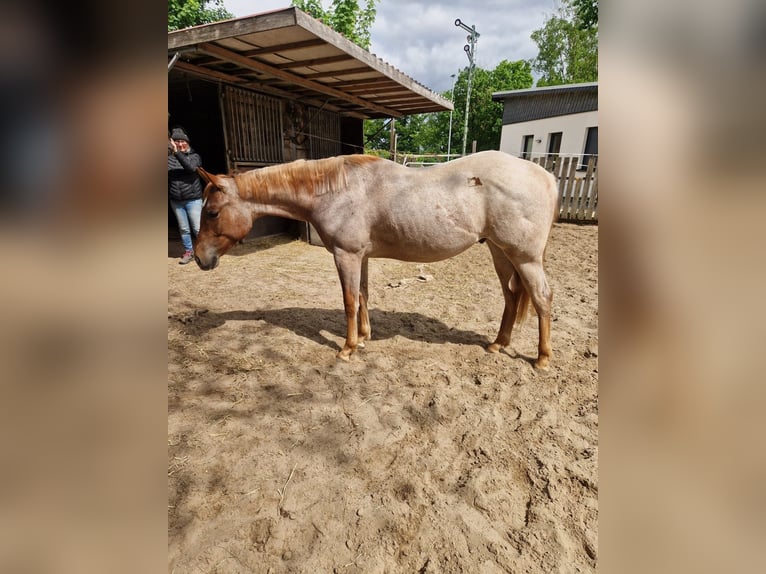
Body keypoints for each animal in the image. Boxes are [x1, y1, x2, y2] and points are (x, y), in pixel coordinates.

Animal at [194, 150, 558, 368]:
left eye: (211, 212)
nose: (198, 258)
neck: (335, 191)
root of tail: (546, 176)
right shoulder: (362, 257)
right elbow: (363, 296)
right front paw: (365, 337)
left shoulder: (347, 256)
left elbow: (349, 301)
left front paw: (347, 348)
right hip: (500, 252)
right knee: (511, 296)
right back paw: (498, 344)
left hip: (525, 258)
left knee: (541, 298)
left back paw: (542, 358)